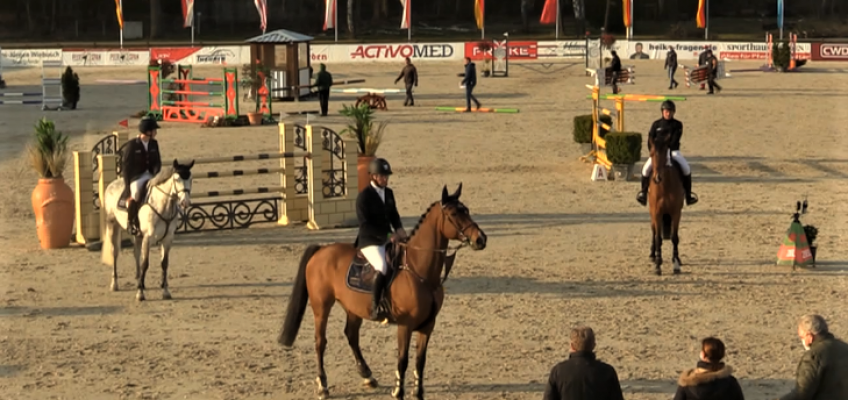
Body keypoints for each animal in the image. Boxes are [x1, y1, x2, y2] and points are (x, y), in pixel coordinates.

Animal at [102, 159, 195, 300]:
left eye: (190, 178)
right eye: (177, 179)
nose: (185, 202)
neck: (163, 205)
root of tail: (112, 184)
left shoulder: (167, 239)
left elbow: (164, 264)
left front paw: (165, 291)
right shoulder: (148, 238)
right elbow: (145, 264)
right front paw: (140, 294)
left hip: (137, 234)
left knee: (136, 253)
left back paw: (139, 280)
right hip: (113, 225)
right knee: (115, 253)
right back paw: (115, 284)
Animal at [278, 184, 486, 400]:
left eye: (467, 210)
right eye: (454, 213)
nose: (481, 239)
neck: (420, 271)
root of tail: (321, 250)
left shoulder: (428, 325)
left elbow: (420, 361)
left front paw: (418, 393)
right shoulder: (405, 325)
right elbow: (403, 360)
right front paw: (398, 391)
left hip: (353, 307)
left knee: (351, 335)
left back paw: (368, 375)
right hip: (321, 307)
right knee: (320, 342)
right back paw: (323, 386)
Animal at [648, 133, 684, 276]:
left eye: (665, 153)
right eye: (651, 154)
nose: (657, 178)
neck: (665, 186)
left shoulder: (676, 213)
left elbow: (675, 238)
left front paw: (676, 264)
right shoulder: (657, 213)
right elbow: (658, 238)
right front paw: (658, 265)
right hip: (652, 214)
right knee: (653, 231)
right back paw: (653, 255)